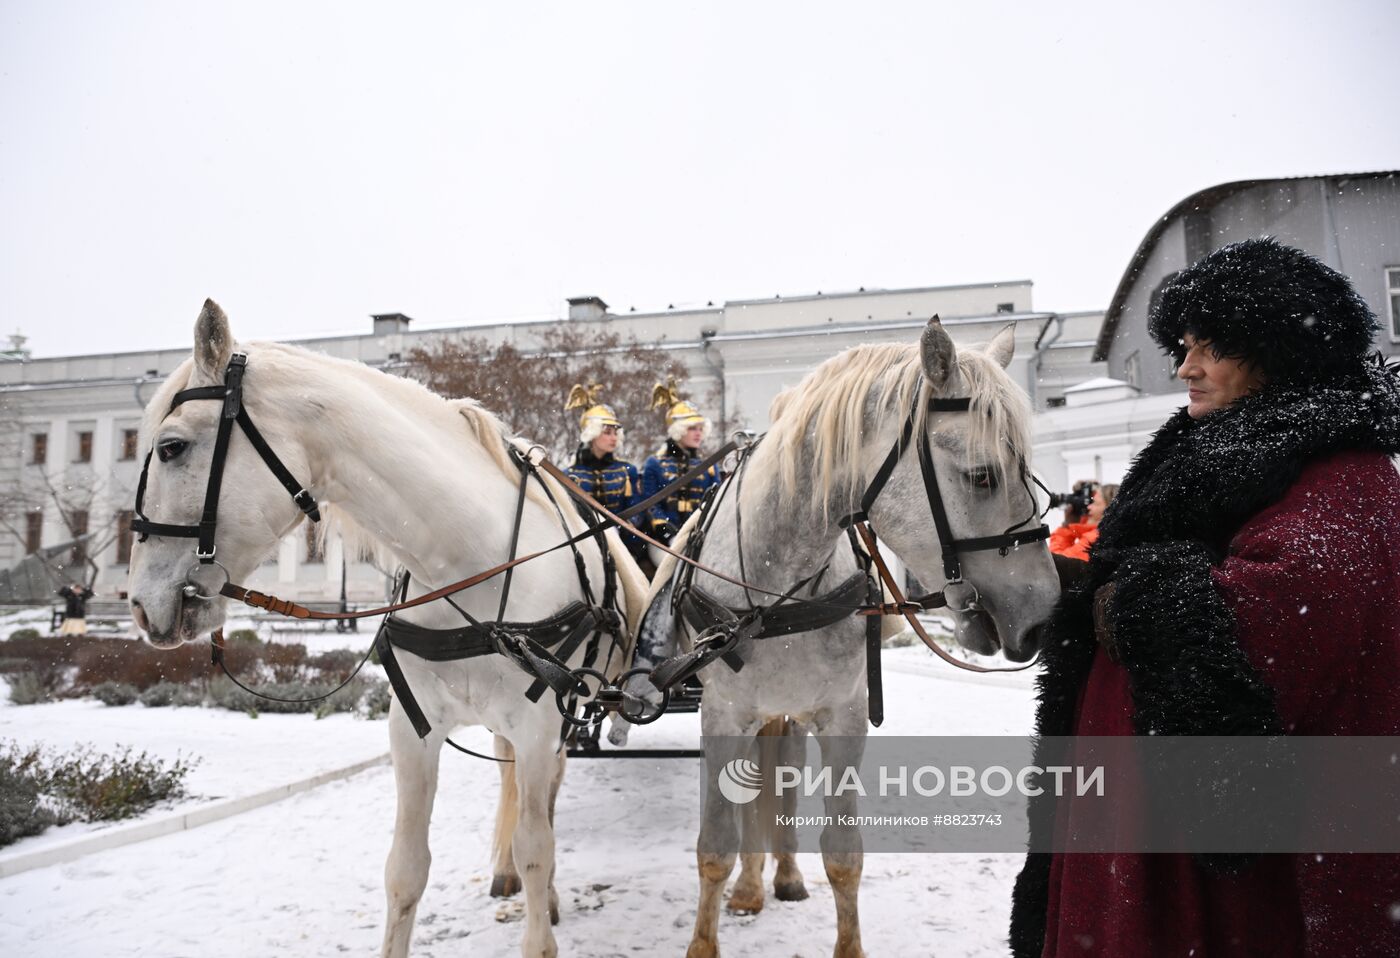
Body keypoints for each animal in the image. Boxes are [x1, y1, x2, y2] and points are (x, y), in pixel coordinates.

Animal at [126, 301, 649, 958]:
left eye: (170, 448)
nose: (138, 604)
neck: (468, 568)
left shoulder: (539, 725)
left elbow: (536, 846)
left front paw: (539, 914)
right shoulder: (413, 730)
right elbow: (406, 867)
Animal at [638, 322, 1058, 958]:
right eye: (983, 474)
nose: (1043, 615)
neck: (777, 587)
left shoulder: (844, 715)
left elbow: (842, 854)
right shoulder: (723, 714)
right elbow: (715, 845)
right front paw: (704, 940)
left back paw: (776, 878)